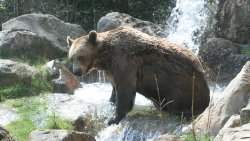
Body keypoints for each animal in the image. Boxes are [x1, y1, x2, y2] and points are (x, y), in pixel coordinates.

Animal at [67, 26, 210, 124]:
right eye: (71, 58)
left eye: (81, 56)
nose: (77, 72)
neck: (105, 58)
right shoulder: (112, 69)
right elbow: (114, 87)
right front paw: (111, 101)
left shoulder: (125, 63)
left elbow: (125, 90)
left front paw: (114, 118)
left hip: (183, 84)